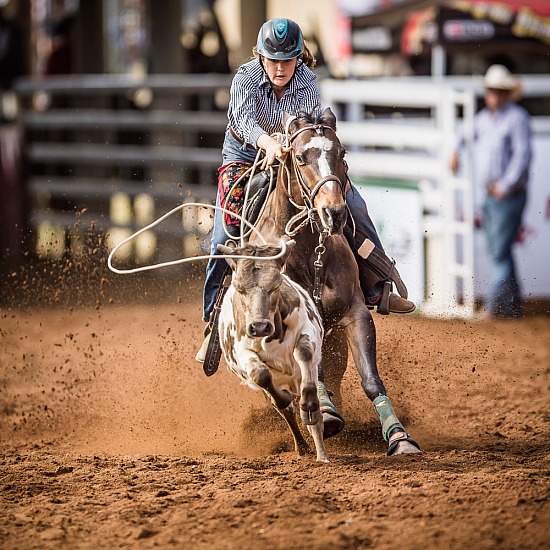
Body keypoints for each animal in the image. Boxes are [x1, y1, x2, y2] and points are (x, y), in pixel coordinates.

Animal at [219, 239, 332, 464]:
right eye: (239, 288)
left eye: (276, 285)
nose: (260, 327)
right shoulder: (242, 352)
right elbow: (261, 375)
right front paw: (285, 400)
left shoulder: (307, 331)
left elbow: (304, 354)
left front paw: (308, 405)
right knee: (283, 406)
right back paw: (302, 446)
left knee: (315, 421)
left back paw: (321, 454)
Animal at [252, 108, 424, 458]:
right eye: (300, 157)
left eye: (341, 153)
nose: (333, 213)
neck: (308, 252)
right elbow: (308, 375)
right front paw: (326, 415)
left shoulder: (355, 315)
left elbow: (370, 379)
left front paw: (399, 437)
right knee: (281, 398)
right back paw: (303, 441)